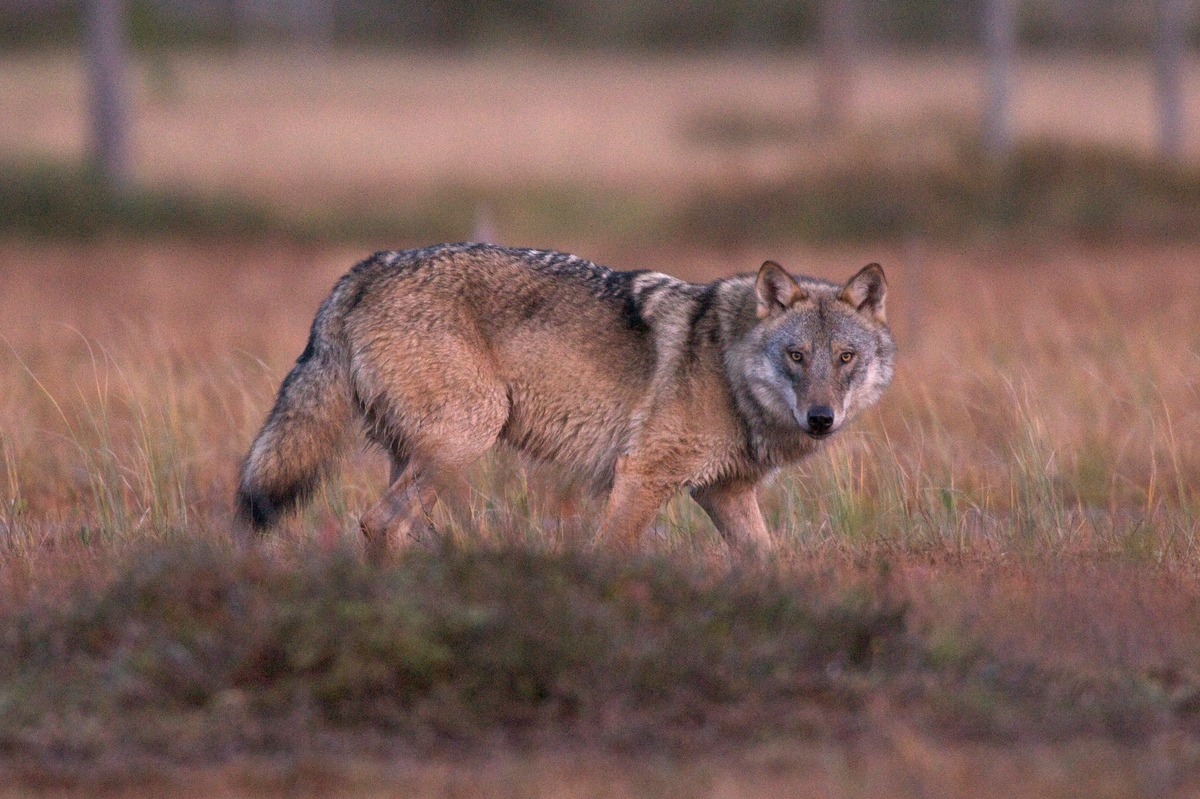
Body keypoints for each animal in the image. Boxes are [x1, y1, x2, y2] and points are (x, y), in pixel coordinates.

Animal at [236, 244, 892, 554]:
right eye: (796, 356)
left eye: (845, 358)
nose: (821, 419)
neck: (728, 366)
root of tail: (365, 270)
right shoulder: (642, 477)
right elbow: (611, 552)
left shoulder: (724, 494)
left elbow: (765, 560)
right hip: (464, 440)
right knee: (380, 524)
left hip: (427, 460)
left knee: (392, 527)